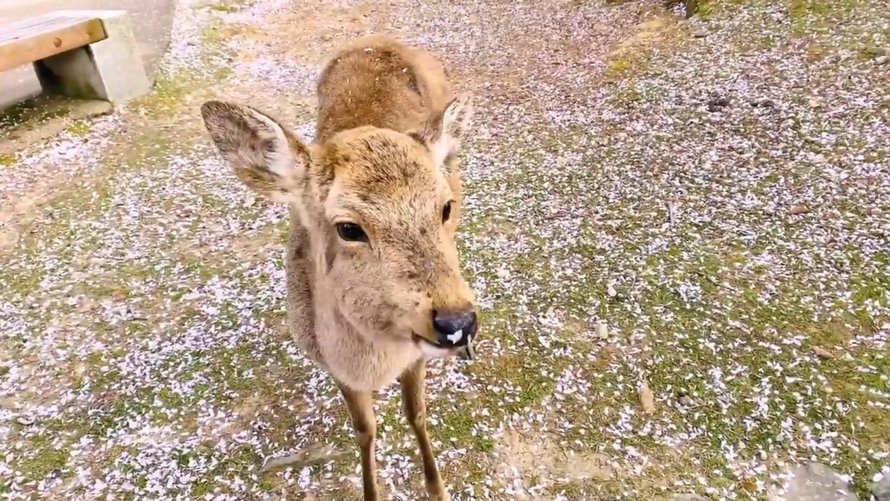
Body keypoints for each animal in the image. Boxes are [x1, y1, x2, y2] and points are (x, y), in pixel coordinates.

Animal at [201, 35, 478, 500]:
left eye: (445, 207)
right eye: (348, 228)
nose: (457, 322)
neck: (376, 363)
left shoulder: (415, 352)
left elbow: (417, 413)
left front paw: (436, 486)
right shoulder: (331, 363)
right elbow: (364, 430)